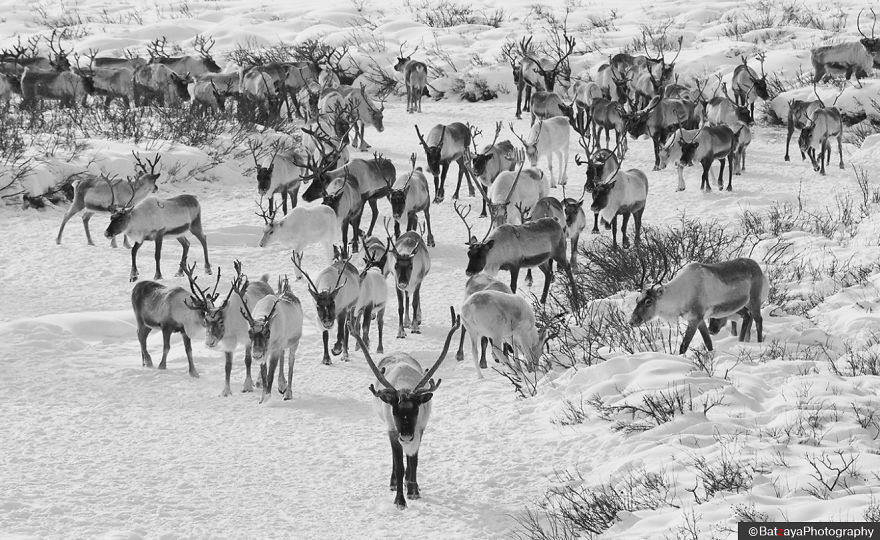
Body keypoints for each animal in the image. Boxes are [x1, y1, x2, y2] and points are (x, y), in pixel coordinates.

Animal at [184, 261, 274, 396]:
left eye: (221, 321)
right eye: (205, 321)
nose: (209, 342)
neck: (231, 328)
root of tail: (264, 281)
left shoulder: (248, 339)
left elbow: (248, 360)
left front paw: (247, 386)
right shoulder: (227, 343)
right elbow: (227, 366)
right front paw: (226, 391)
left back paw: (258, 382)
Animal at [235, 275, 304, 403]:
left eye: (267, 332)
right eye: (249, 332)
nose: (256, 354)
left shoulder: (275, 349)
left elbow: (270, 374)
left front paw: (267, 397)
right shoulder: (266, 351)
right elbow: (264, 374)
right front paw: (262, 398)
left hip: (294, 342)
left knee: (291, 362)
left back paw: (288, 393)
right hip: (282, 344)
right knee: (283, 356)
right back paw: (282, 385)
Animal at [347, 307, 459, 510]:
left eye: (416, 409)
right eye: (395, 410)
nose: (406, 435)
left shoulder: (420, 428)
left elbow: (413, 461)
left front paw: (413, 490)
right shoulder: (393, 430)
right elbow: (399, 466)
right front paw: (400, 500)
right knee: (396, 459)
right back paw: (394, 483)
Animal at [630, 257, 768, 354]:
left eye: (648, 301)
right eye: (637, 299)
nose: (631, 321)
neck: (680, 295)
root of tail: (759, 269)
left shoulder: (694, 319)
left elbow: (684, 346)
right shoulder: (700, 320)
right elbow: (708, 342)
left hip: (754, 300)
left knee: (759, 320)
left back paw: (759, 343)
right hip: (741, 306)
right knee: (748, 317)